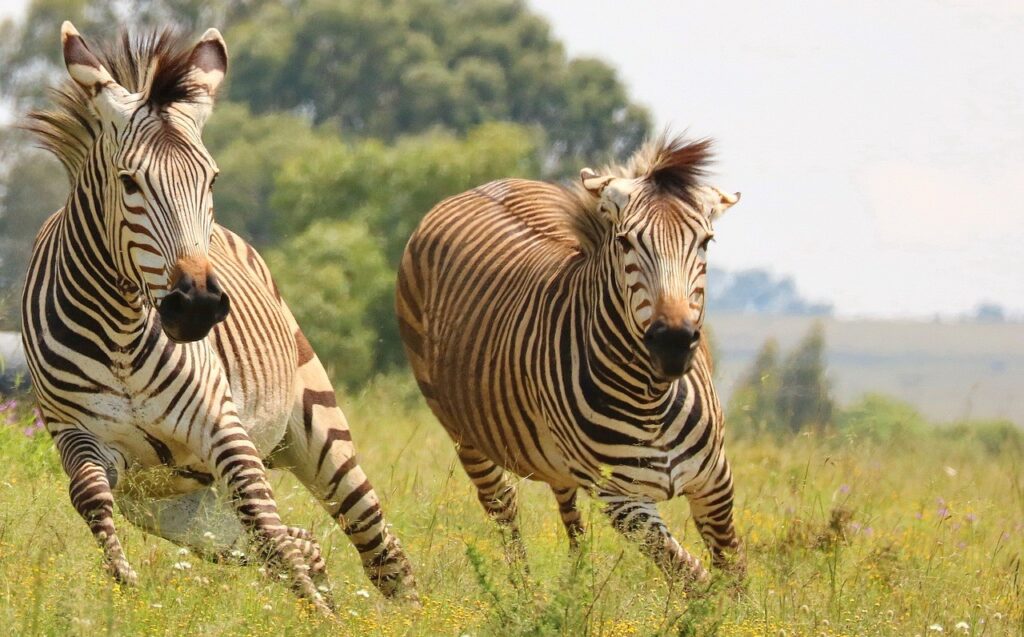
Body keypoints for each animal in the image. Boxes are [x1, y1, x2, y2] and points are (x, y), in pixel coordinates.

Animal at [20, 23, 417, 613]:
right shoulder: (78, 435)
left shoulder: (222, 426)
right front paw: (124, 586)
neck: (119, 331)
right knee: (296, 541)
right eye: (129, 181)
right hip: (176, 509)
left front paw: (321, 617)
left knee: (373, 540)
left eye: (210, 180)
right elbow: (89, 496)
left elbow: (263, 518)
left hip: (316, 427)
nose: (198, 305)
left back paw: (413, 612)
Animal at [396, 135, 744, 585]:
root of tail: (474, 189)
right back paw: (524, 591)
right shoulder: (623, 500)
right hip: (461, 430)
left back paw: (577, 586)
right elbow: (694, 578)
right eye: (625, 242)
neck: (652, 398)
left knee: (566, 506)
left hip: (553, 451)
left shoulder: (715, 481)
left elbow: (733, 575)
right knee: (502, 505)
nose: (674, 343)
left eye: (705, 243)